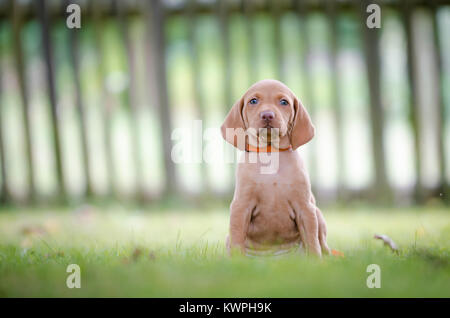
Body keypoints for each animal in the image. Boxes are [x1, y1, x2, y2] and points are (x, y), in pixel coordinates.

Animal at [221, 78, 330, 258]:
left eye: (284, 102)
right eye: (253, 101)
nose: (267, 115)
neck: (270, 153)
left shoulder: (305, 208)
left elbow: (312, 241)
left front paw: (316, 262)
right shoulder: (240, 207)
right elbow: (237, 239)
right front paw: (237, 262)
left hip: (318, 213)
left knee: (323, 245)